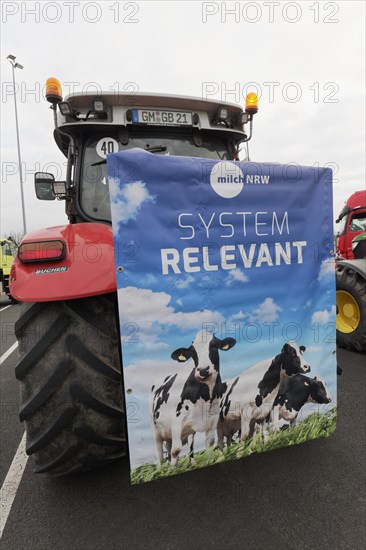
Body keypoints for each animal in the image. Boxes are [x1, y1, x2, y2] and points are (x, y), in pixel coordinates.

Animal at [152, 332, 236, 466]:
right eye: (192, 351)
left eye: (214, 345)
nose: (202, 370)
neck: (206, 396)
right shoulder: (177, 420)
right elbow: (176, 450)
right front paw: (173, 469)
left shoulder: (213, 419)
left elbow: (210, 444)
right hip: (156, 430)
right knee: (161, 454)